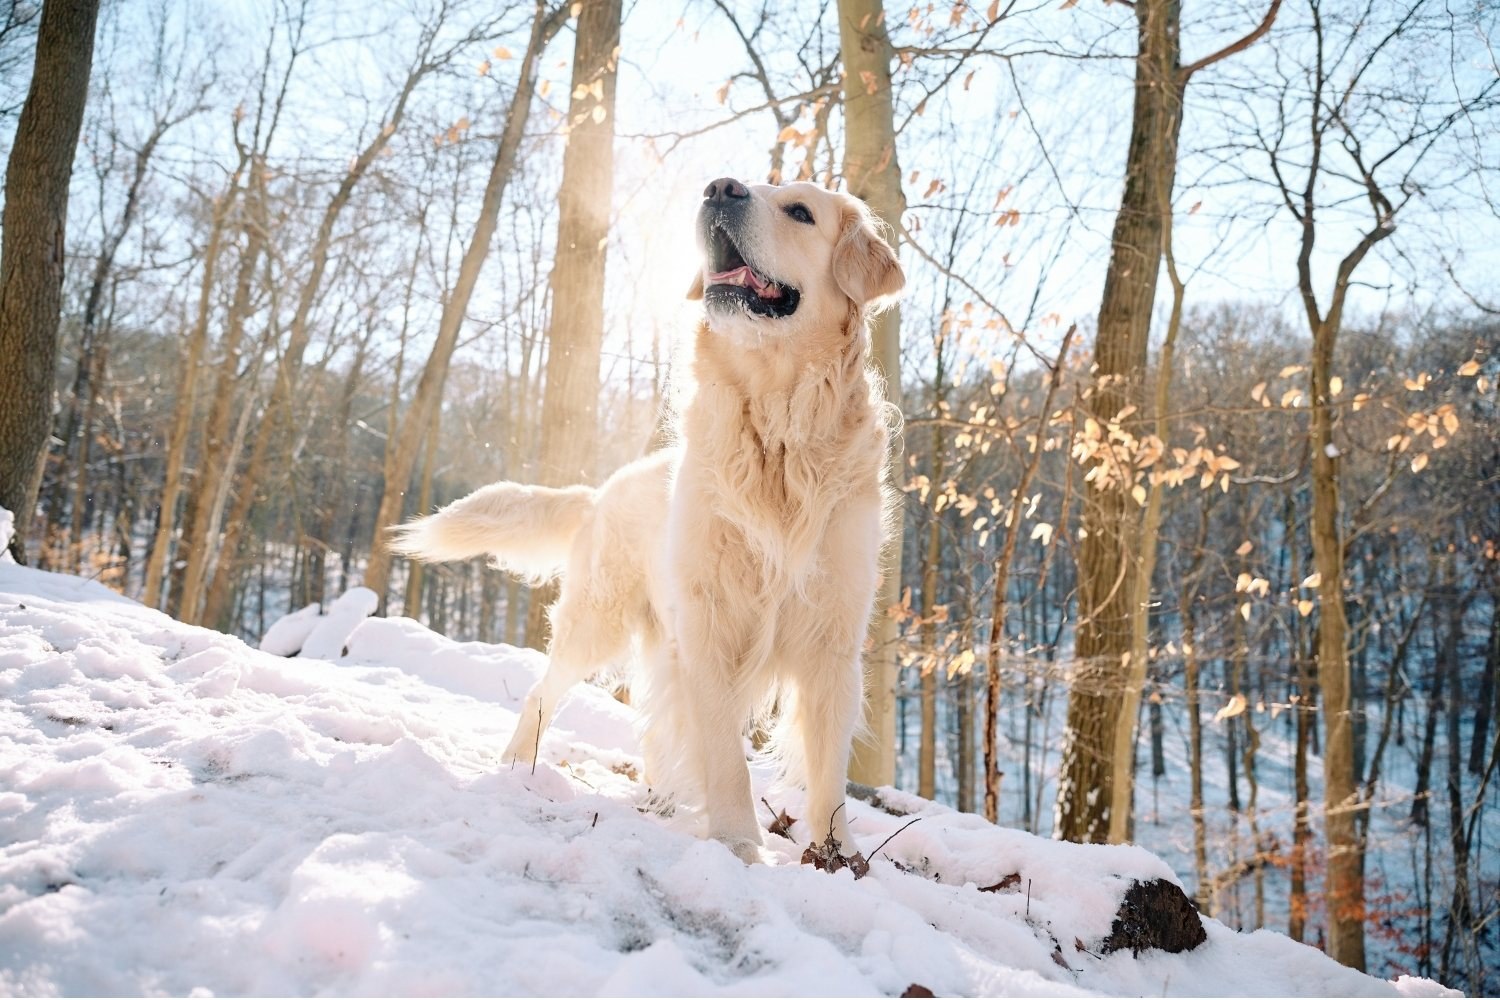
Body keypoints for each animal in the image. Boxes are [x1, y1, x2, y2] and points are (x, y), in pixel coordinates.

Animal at [390, 177, 900, 863]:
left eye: (800, 211)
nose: (719, 187)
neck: (778, 430)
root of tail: (599, 491)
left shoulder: (832, 641)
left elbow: (828, 773)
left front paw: (838, 859)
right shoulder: (711, 629)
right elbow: (725, 759)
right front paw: (739, 847)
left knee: (657, 728)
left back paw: (658, 798)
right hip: (597, 623)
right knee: (542, 694)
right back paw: (516, 767)